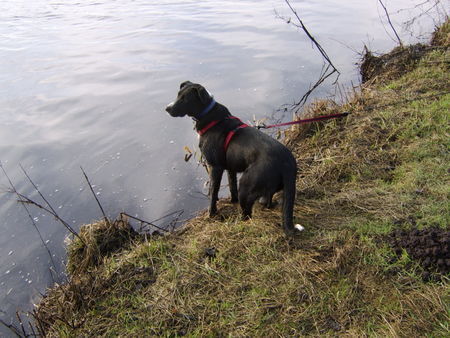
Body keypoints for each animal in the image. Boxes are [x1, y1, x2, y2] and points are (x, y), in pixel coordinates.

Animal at [165, 81, 302, 236]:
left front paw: (211, 214)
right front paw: (232, 201)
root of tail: (288, 162)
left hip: (246, 186)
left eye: (185, 99)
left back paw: (239, 223)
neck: (210, 116)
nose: (167, 108)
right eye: (178, 95)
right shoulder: (230, 168)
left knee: (247, 214)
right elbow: (231, 187)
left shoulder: (215, 167)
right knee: (267, 200)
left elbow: (213, 193)